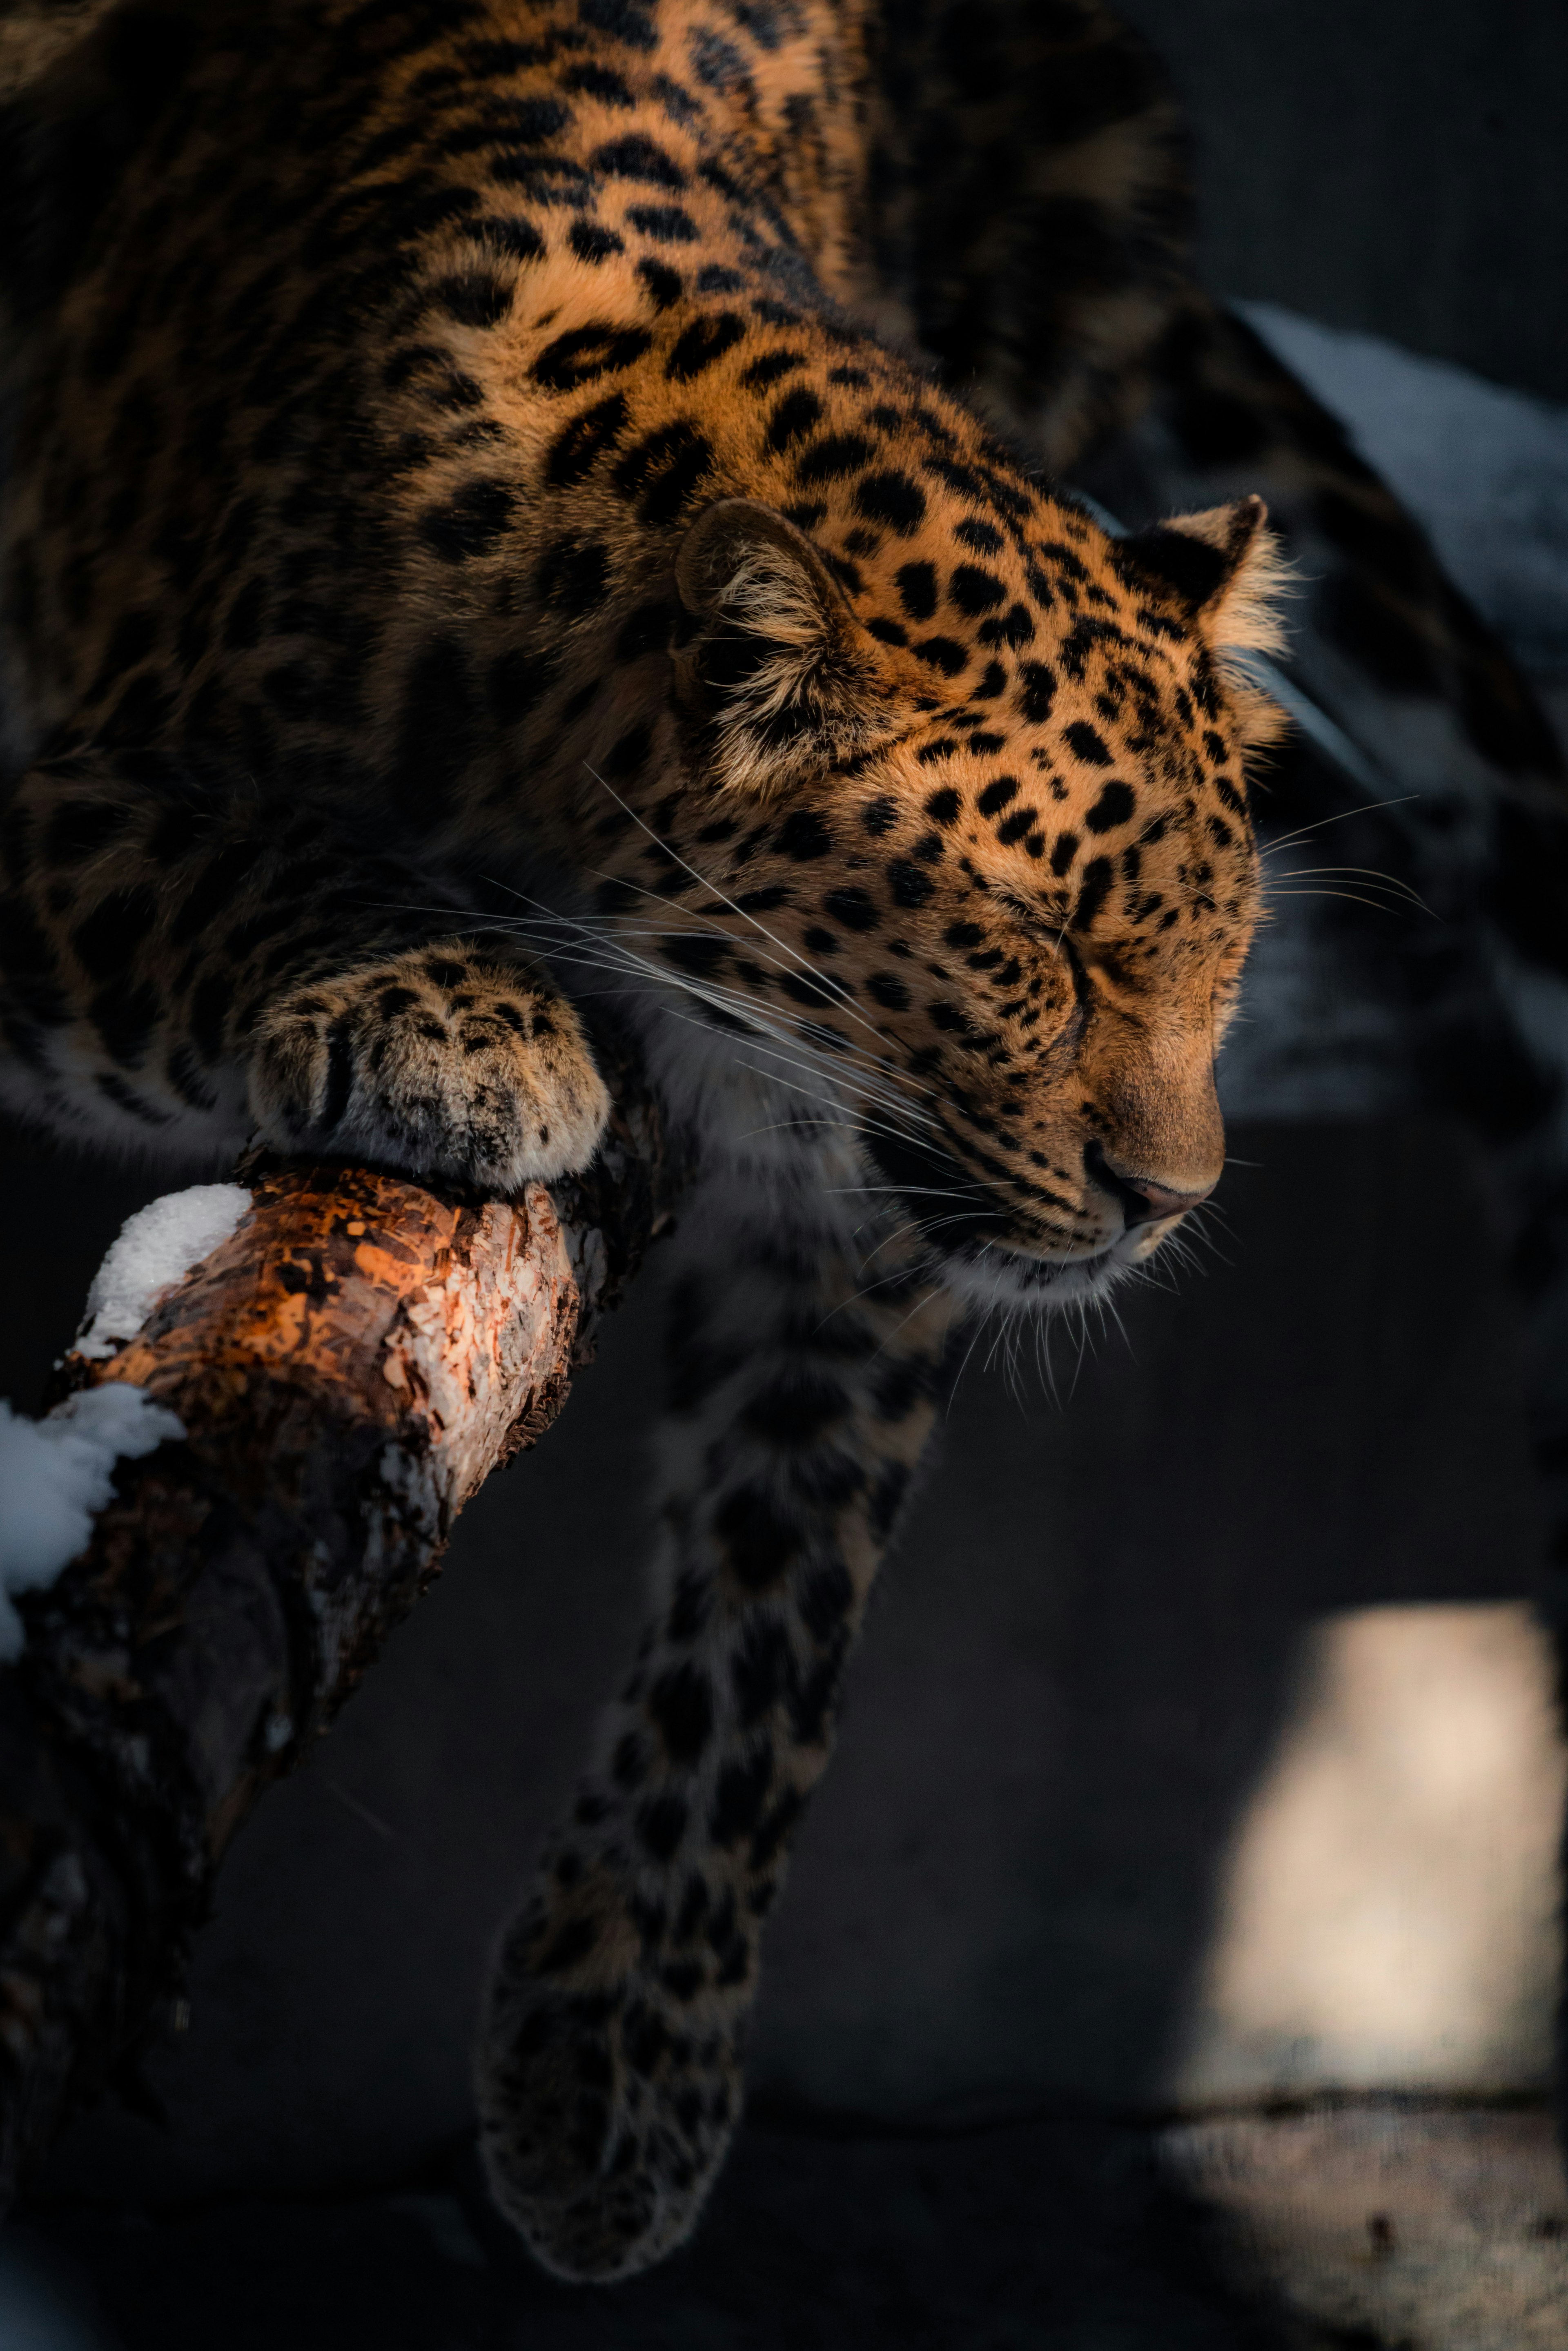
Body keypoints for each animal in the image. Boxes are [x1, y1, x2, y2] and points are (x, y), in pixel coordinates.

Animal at [0, 0, 1561, 2294]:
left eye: (1225, 949)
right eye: (1033, 947)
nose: (1174, 1202)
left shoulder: (875, 1206)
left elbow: (787, 1568)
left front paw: (616, 2060)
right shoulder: (46, 792)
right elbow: (219, 848)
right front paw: (457, 1003)